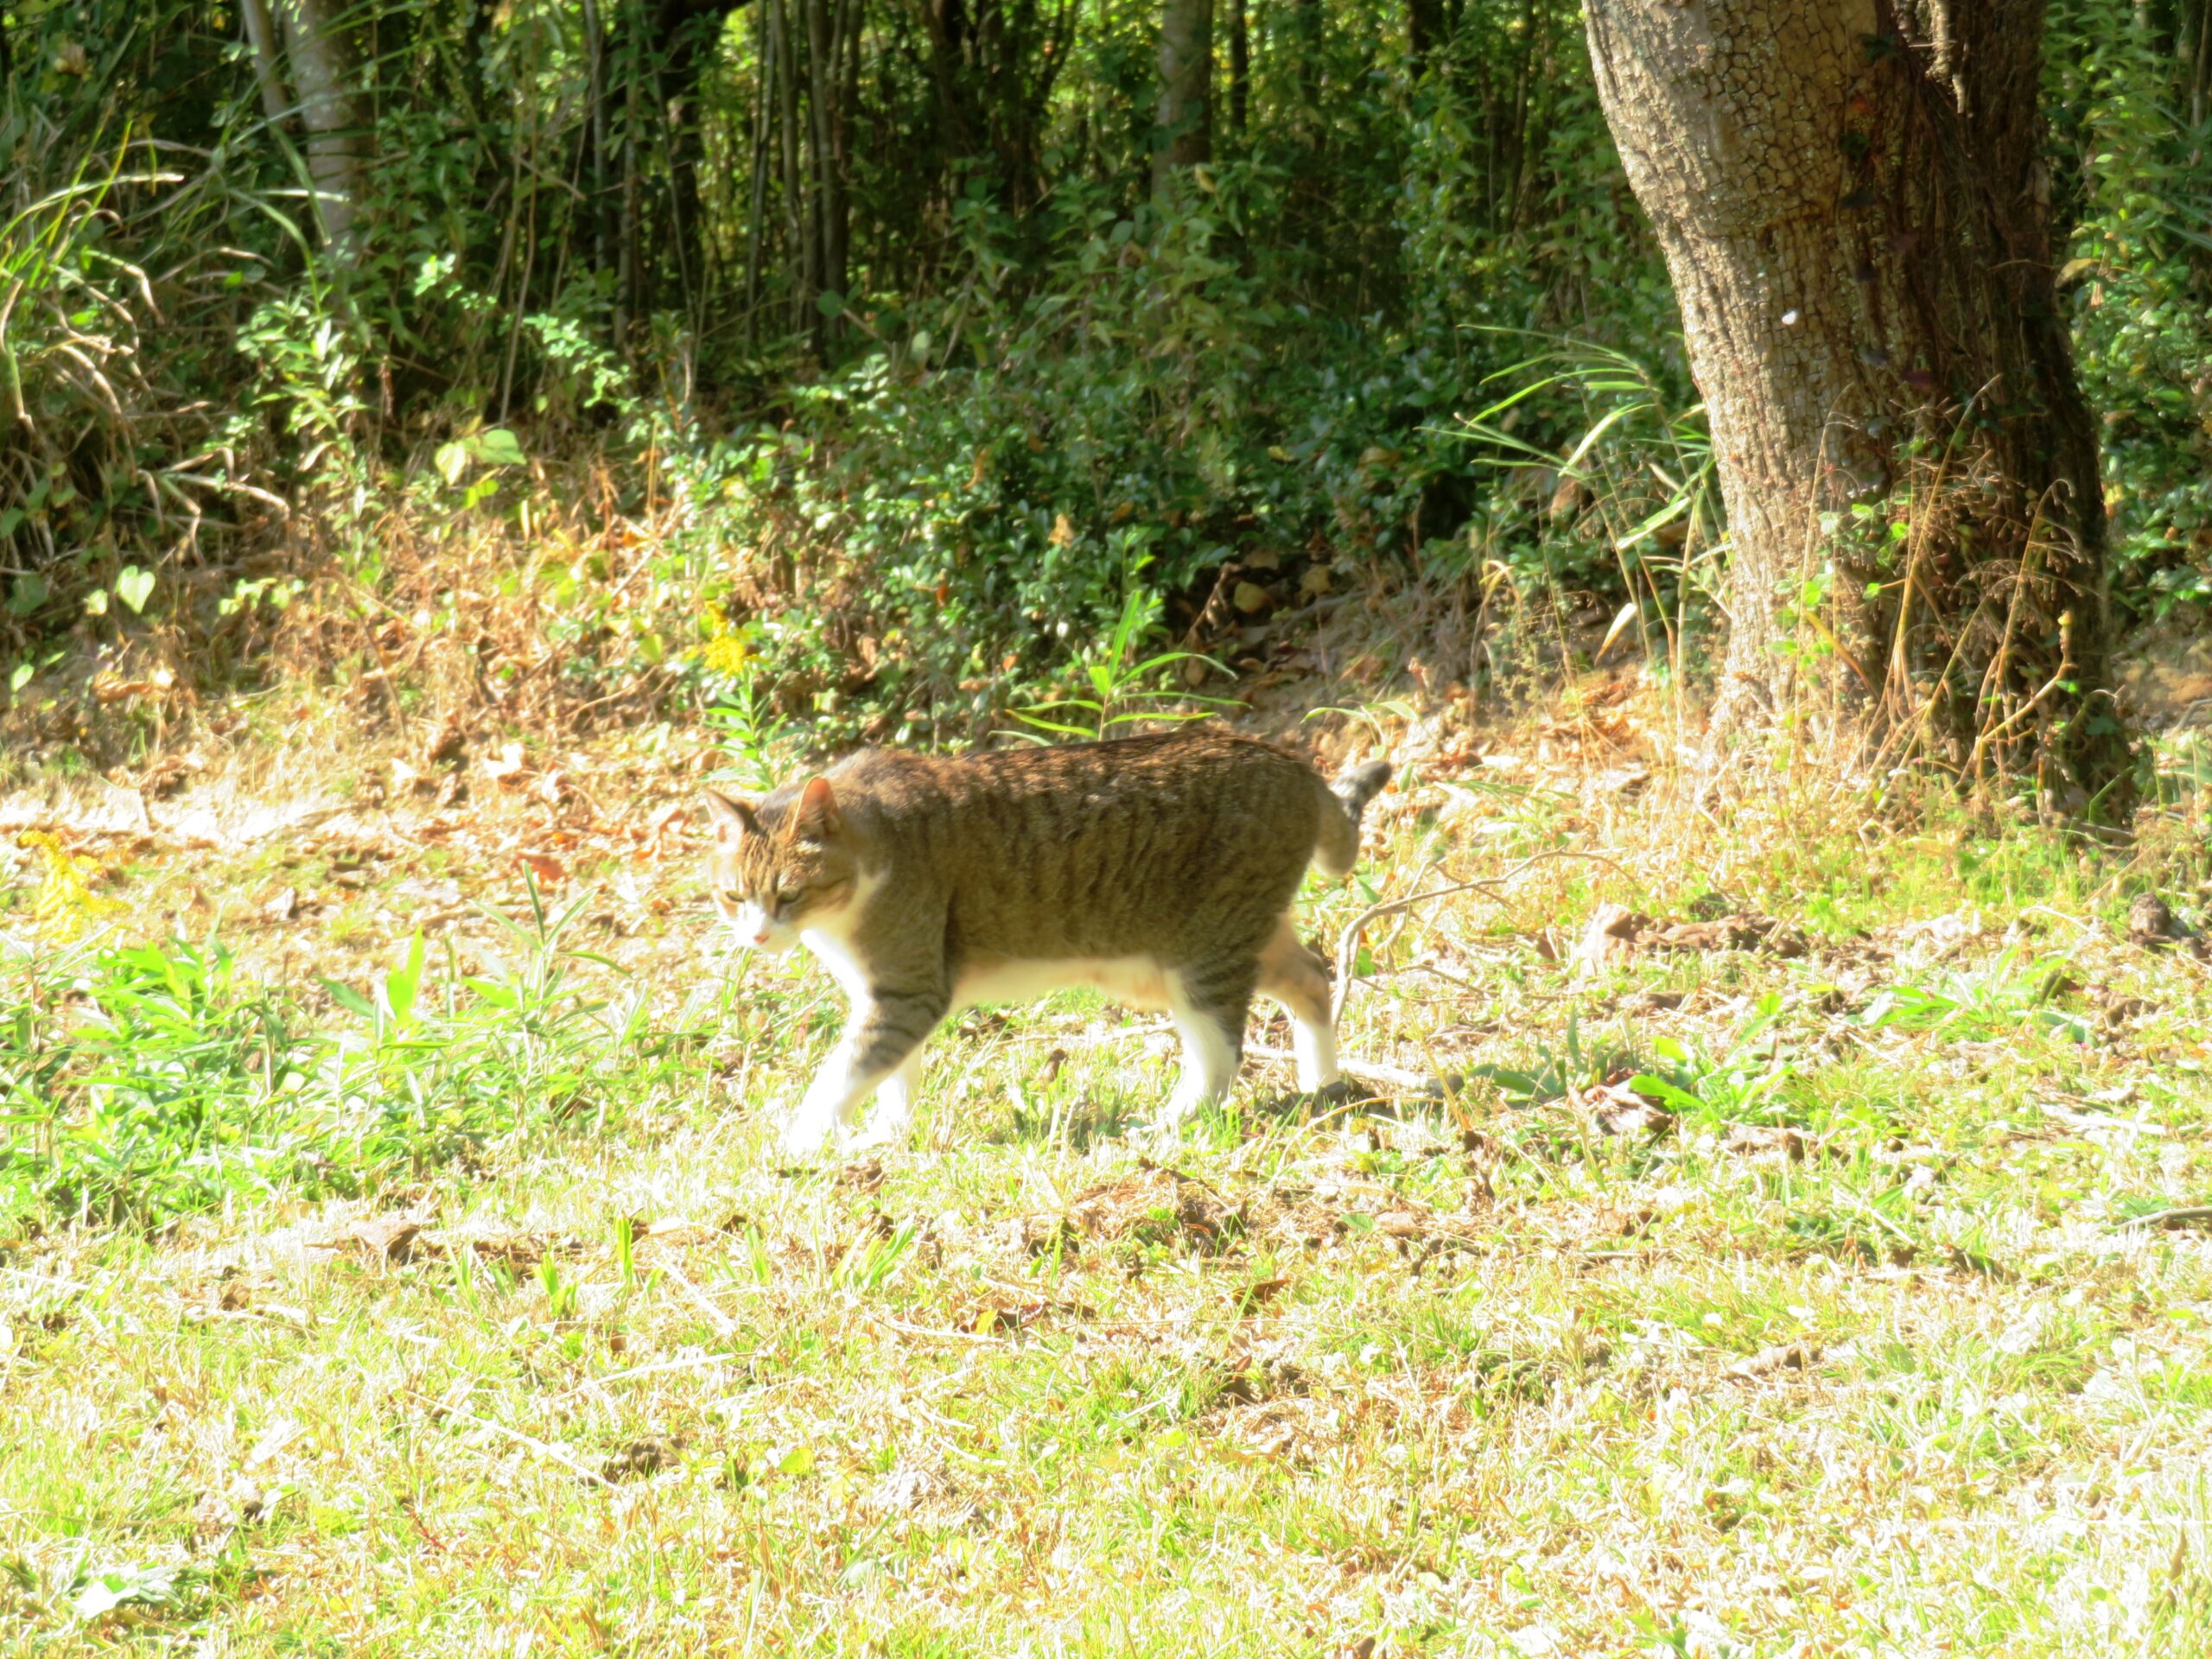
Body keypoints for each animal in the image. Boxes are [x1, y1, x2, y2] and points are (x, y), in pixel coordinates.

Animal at [703, 725, 1380, 1159]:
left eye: (789, 894)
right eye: (734, 896)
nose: (757, 935)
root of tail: (1292, 763)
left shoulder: (907, 991)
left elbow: (840, 1075)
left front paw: (801, 1143)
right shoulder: (892, 995)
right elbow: (894, 1074)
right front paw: (887, 1135)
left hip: (1203, 954)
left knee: (1220, 1054)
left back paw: (1170, 1122)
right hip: (1246, 938)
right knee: (1313, 976)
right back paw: (1323, 1084)